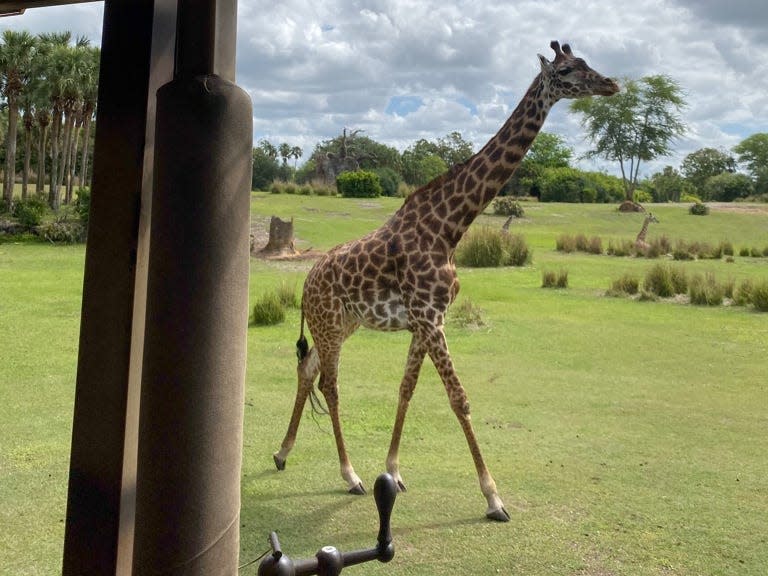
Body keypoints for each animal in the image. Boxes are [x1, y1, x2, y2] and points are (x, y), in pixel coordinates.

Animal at [272, 40, 620, 520]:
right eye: (567, 71)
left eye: (587, 62)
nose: (611, 83)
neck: (450, 228)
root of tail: (306, 283)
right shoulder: (430, 319)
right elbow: (460, 399)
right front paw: (493, 497)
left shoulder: (425, 321)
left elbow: (406, 389)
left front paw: (394, 471)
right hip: (328, 323)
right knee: (330, 384)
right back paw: (349, 475)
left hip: (343, 324)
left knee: (308, 369)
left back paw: (283, 453)